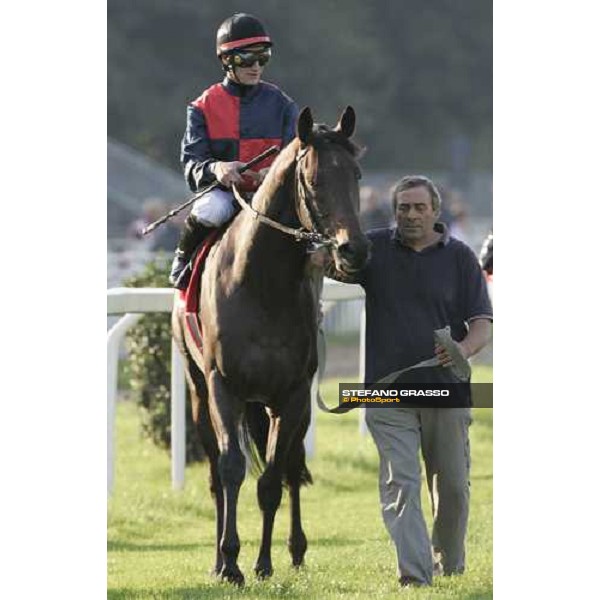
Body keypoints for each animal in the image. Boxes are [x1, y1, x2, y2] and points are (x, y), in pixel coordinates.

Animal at [173, 105, 368, 584]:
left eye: (356, 173)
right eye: (312, 180)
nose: (353, 250)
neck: (262, 286)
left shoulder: (293, 393)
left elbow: (273, 478)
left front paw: (263, 563)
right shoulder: (223, 386)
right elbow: (231, 469)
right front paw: (230, 562)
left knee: (292, 468)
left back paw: (295, 550)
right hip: (197, 390)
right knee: (215, 472)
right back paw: (217, 560)